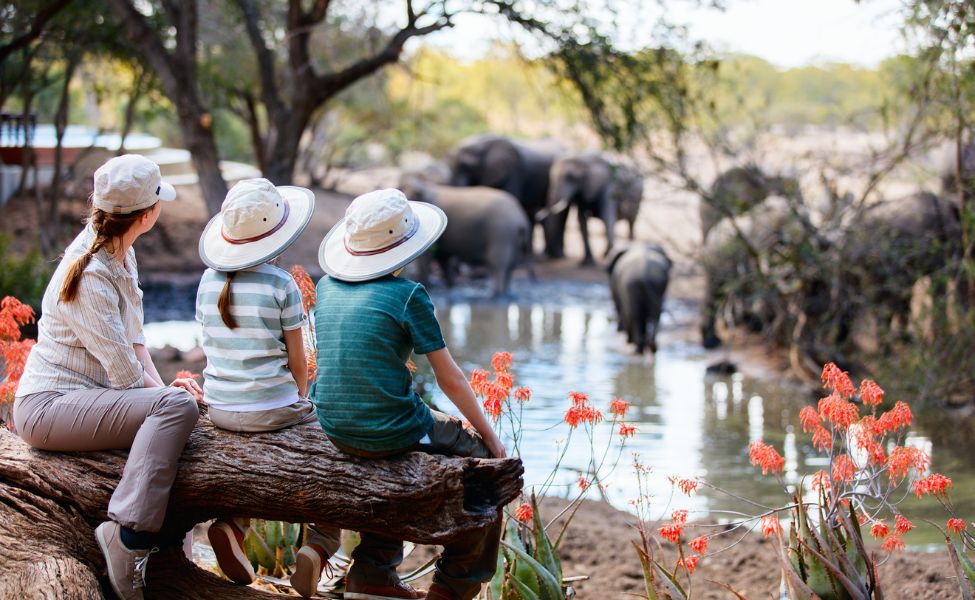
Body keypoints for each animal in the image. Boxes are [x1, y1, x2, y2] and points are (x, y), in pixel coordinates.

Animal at [398, 176, 532, 298]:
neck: (426, 185)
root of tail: (521, 219)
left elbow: (429, 256)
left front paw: (429, 285)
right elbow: (443, 257)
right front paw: (450, 285)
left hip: (501, 232)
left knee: (498, 262)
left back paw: (496, 295)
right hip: (512, 236)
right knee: (511, 263)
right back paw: (505, 293)